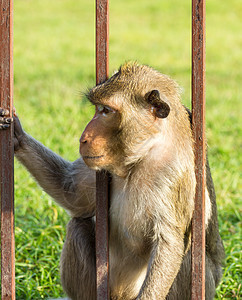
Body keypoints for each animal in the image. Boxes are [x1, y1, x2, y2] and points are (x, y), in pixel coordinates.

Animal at [0, 62, 224, 298]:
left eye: (106, 111)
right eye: (98, 108)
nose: (83, 138)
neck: (143, 157)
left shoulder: (174, 174)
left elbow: (169, 244)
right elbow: (72, 192)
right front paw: (17, 136)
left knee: (189, 255)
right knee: (78, 224)